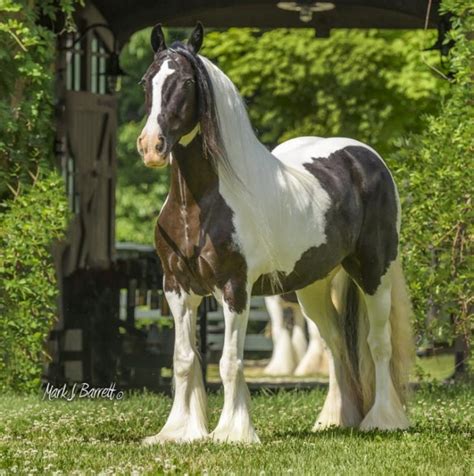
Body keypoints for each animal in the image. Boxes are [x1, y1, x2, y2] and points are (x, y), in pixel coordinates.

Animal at [138, 24, 414, 444]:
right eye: (146, 82)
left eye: (185, 82)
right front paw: (178, 432)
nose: (151, 147)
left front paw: (233, 433)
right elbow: (184, 359)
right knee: (336, 344)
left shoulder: (235, 288)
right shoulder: (177, 287)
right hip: (312, 287)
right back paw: (336, 419)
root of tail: (367, 157)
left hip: (374, 272)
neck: (198, 204)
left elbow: (230, 361)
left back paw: (383, 420)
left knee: (377, 343)